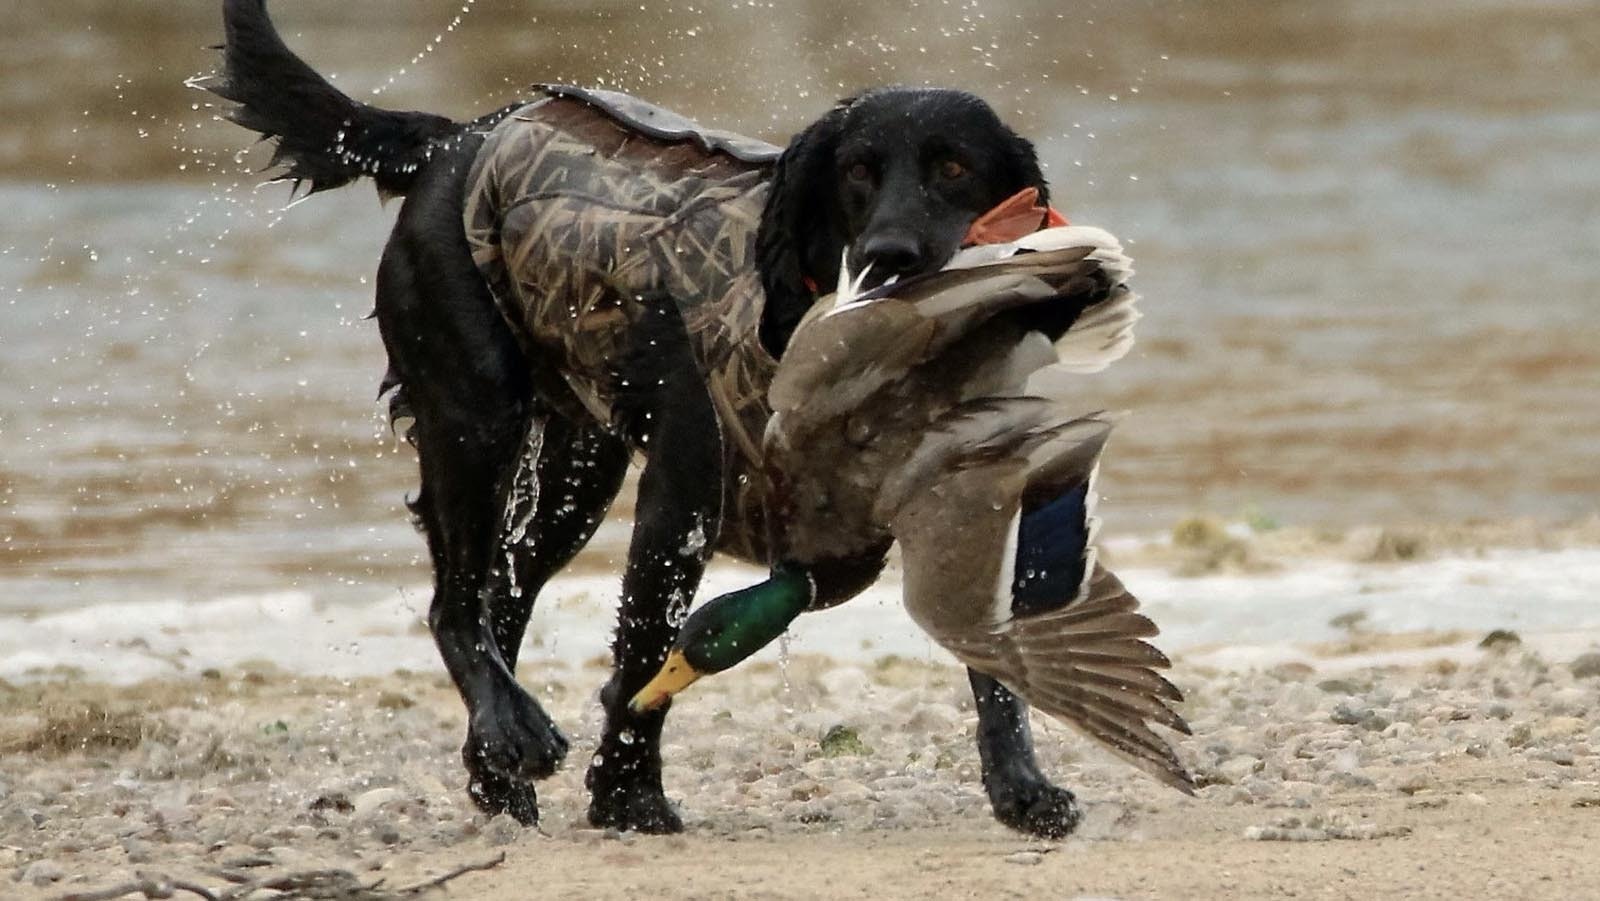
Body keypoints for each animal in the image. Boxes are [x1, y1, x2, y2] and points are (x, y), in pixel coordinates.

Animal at [206, 0, 1081, 838]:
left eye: (955, 167)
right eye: (858, 172)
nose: (889, 255)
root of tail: (456, 139)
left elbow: (993, 668)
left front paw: (1022, 787)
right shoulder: (682, 495)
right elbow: (645, 655)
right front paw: (628, 795)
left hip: (576, 471)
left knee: (498, 599)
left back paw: (498, 766)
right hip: (476, 414)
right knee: (455, 603)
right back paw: (514, 732)